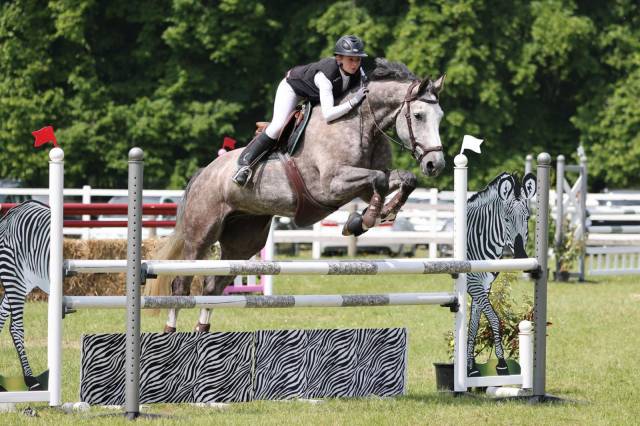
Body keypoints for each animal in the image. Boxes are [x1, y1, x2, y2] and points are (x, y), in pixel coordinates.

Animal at [145, 59, 444, 332]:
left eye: (440, 116)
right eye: (419, 116)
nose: (435, 164)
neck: (361, 125)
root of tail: (203, 174)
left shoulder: (361, 185)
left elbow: (403, 179)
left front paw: (369, 218)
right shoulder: (332, 184)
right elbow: (380, 180)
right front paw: (366, 219)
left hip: (243, 241)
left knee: (212, 287)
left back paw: (202, 333)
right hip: (201, 234)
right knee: (181, 283)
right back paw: (172, 333)